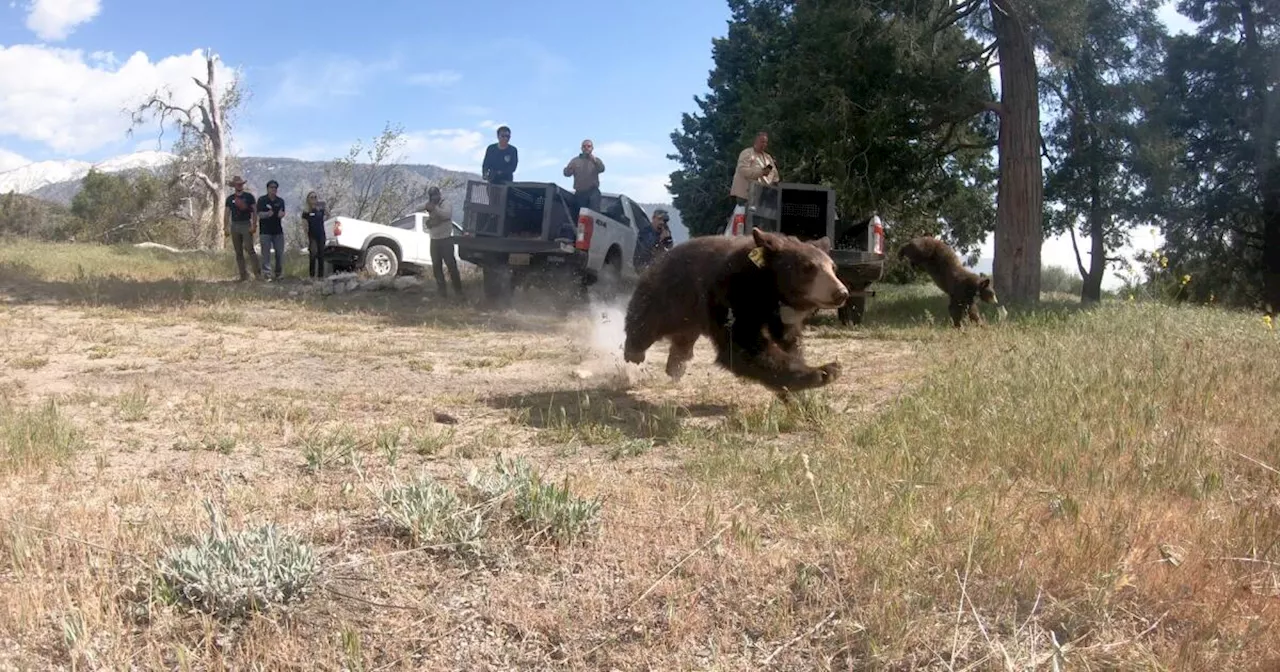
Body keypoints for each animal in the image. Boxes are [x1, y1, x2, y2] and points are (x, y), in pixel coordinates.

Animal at [622, 229, 849, 399]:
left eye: (833, 267)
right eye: (808, 267)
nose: (841, 292)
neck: (768, 290)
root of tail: (663, 255)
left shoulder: (783, 317)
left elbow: (790, 341)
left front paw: (795, 392)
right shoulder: (732, 295)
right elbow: (743, 345)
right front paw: (825, 371)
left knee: (683, 338)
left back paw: (676, 365)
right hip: (669, 295)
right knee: (646, 321)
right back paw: (634, 353)